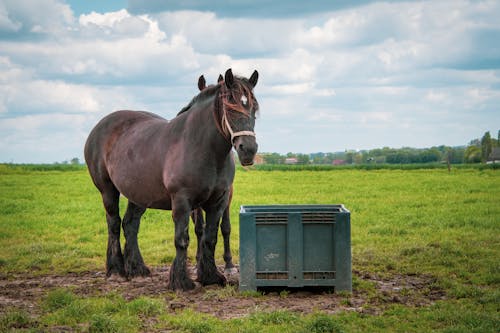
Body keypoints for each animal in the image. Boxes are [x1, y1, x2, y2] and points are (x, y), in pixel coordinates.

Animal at [84, 68, 260, 290]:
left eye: (254, 109)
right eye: (230, 108)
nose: (249, 150)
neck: (203, 149)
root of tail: (100, 126)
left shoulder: (218, 201)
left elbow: (210, 238)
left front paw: (210, 276)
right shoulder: (182, 201)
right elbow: (182, 239)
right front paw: (181, 281)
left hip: (139, 195)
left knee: (130, 224)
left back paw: (137, 269)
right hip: (108, 190)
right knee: (114, 224)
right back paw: (117, 271)